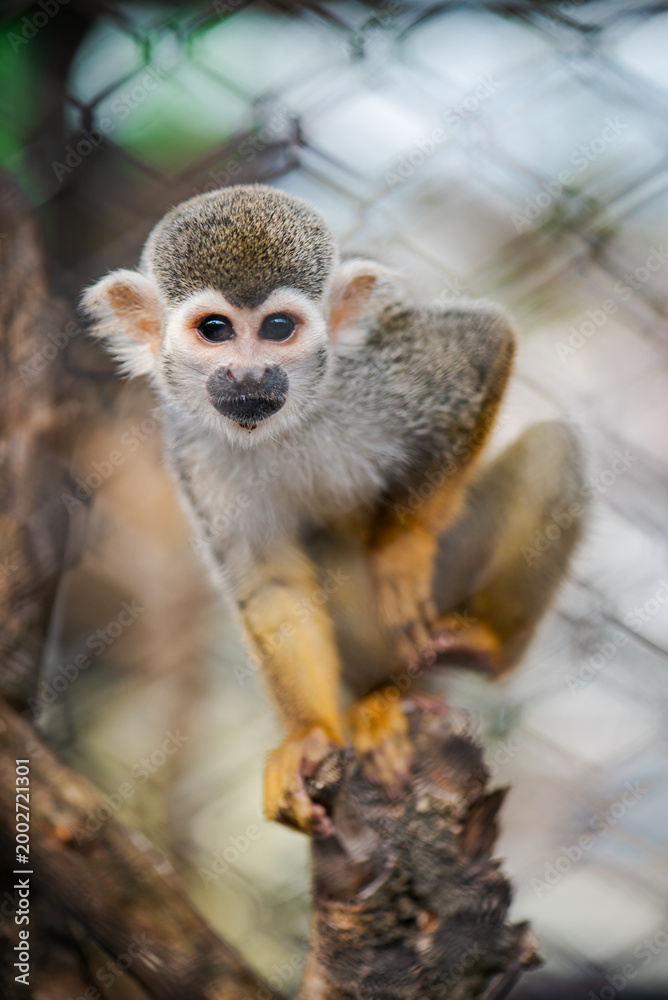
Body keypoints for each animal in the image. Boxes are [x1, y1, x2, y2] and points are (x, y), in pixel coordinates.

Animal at [82, 184, 585, 835]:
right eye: (215, 330)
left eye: (278, 327)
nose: (249, 373)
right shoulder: (194, 451)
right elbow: (272, 583)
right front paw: (309, 737)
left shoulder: (380, 371)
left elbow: (486, 341)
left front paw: (401, 551)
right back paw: (374, 704)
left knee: (555, 447)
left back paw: (487, 646)